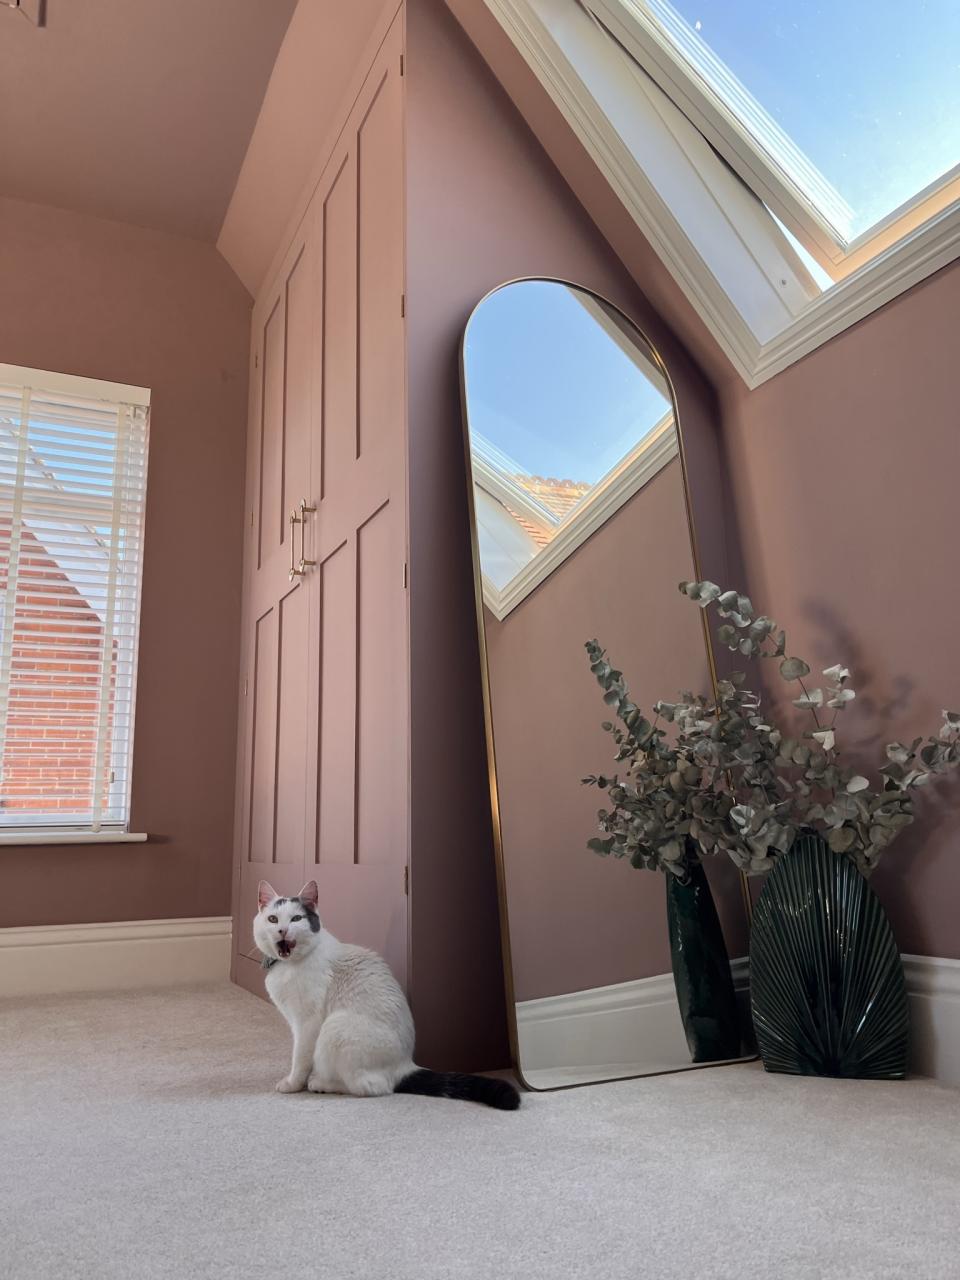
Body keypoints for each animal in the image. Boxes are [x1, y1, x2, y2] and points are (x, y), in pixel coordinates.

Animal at [256, 880, 522, 1111]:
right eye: (273, 919)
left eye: (296, 918)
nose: (282, 929)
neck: (287, 966)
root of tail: (405, 1065)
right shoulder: (295, 1023)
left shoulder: (307, 1023)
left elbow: (300, 1057)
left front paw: (293, 1083)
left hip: (335, 1027)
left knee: (371, 1087)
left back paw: (321, 1083)